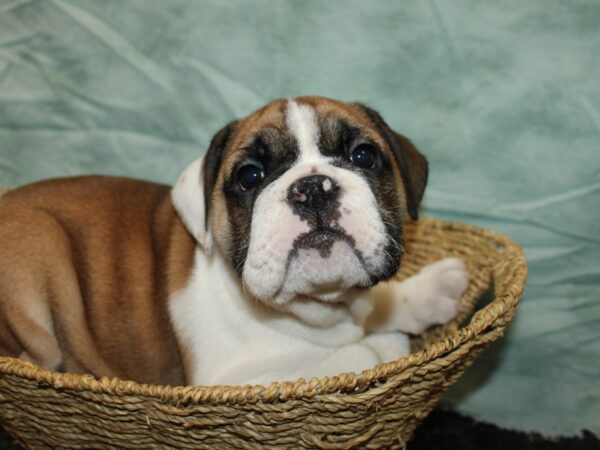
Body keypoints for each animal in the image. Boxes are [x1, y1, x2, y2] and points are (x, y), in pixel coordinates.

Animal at [0, 96, 468, 384]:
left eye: (364, 156)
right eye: (250, 176)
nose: (312, 188)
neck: (320, 311)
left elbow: (380, 304)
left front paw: (428, 290)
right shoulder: (238, 380)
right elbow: (360, 354)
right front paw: (387, 345)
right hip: (40, 242)